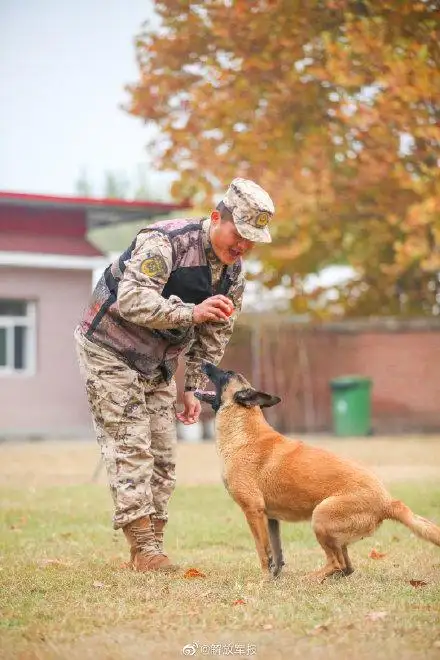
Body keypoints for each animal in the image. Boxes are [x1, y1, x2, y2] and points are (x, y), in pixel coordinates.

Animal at [196, 364, 440, 580]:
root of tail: (387, 501)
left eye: (226, 373)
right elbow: (277, 554)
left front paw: (264, 580)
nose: (204, 362)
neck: (243, 430)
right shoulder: (271, 518)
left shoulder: (253, 512)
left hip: (320, 517)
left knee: (337, 563)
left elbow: (263, 552)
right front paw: (274, 578)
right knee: (346, 567)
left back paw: (308, 579)